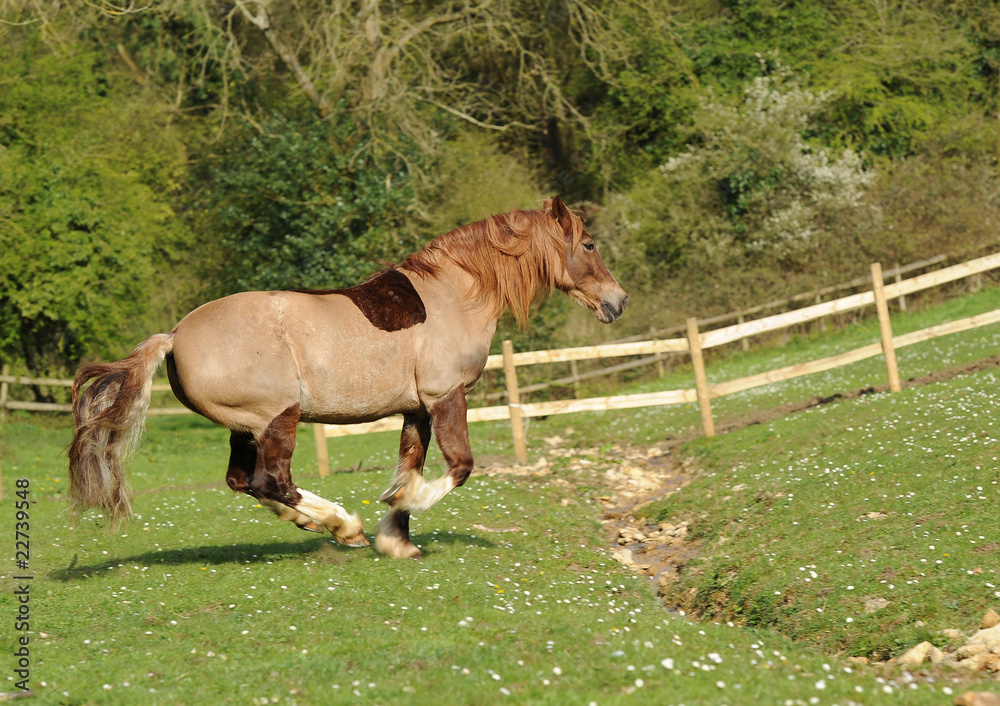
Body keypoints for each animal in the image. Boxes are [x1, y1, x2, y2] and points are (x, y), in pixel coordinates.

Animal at [68, 195, 628, 558]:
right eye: (590, 244)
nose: (618, 302)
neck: (455, 294)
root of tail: (175, 335)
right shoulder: (446, 396)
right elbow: (458, 467)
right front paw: (398, 511)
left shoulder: (416, 409)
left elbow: (410, 465)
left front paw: (397, 540)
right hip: (277, 417)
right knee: (271, 481)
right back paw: (345, 525)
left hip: (244, 427)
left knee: (244, 482)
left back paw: (332, 527)